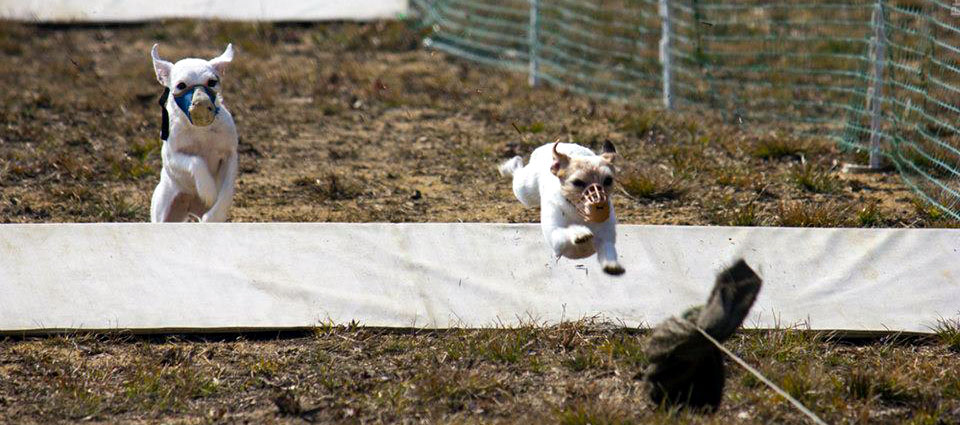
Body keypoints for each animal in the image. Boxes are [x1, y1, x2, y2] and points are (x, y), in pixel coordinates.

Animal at [152, 43, 240, 222]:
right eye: (181, 85)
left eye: (212, 82)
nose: (200, 101)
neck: (201, 130)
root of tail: (190, 207)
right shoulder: (173, 157)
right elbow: (196, 160)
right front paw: (208, 190)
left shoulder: (230, 157)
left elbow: (226, 193)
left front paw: (214, 215)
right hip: (162, 211)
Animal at [498, 141, 628, 274]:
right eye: (577, 182)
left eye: (608, 180)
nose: (599, 201)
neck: (579, 214)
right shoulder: (555, 238)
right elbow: (565, 232)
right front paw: (580, 232)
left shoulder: (606, 238)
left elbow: (608, 249)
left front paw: (612, 265)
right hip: (524, 191)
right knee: (517, 171)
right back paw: (509, 166)